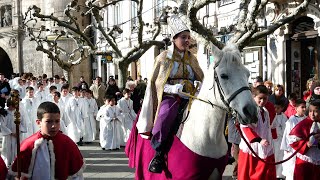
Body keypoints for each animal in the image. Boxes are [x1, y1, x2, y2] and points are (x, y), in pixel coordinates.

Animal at [126, 44, 258, 180]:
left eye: (247, 74)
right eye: (223, 75)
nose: (251, 111)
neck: (208, 135)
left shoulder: (215, 175)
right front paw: (179, 88)